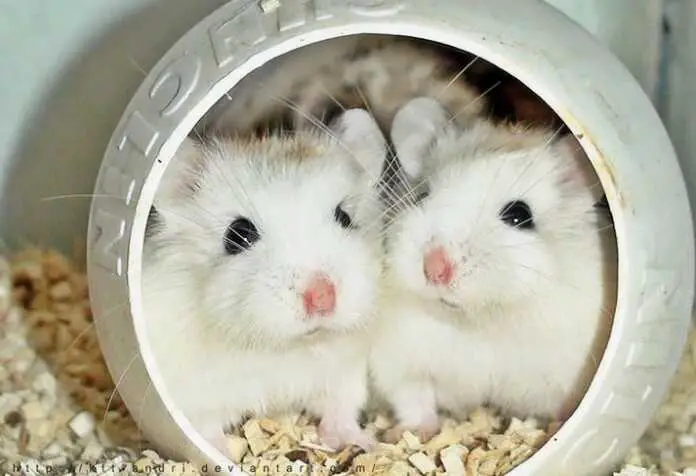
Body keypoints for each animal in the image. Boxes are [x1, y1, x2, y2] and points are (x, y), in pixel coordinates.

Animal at [141, 108, 388, 455]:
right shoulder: (191, 397)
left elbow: (340, 410)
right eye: (238, 234)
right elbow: (203, 429)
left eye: (345, 217)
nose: (322, 298)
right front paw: (220, 454)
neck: (279, 345)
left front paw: (365, 443)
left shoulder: (345, 372)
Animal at [369, 97, 617, 441]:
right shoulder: (398, 358)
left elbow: (566, 404)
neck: (482, 319)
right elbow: (413, 397)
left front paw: (556, 429)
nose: (434, 269)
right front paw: (408, 434)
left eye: (519, 215)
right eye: (422, 195)